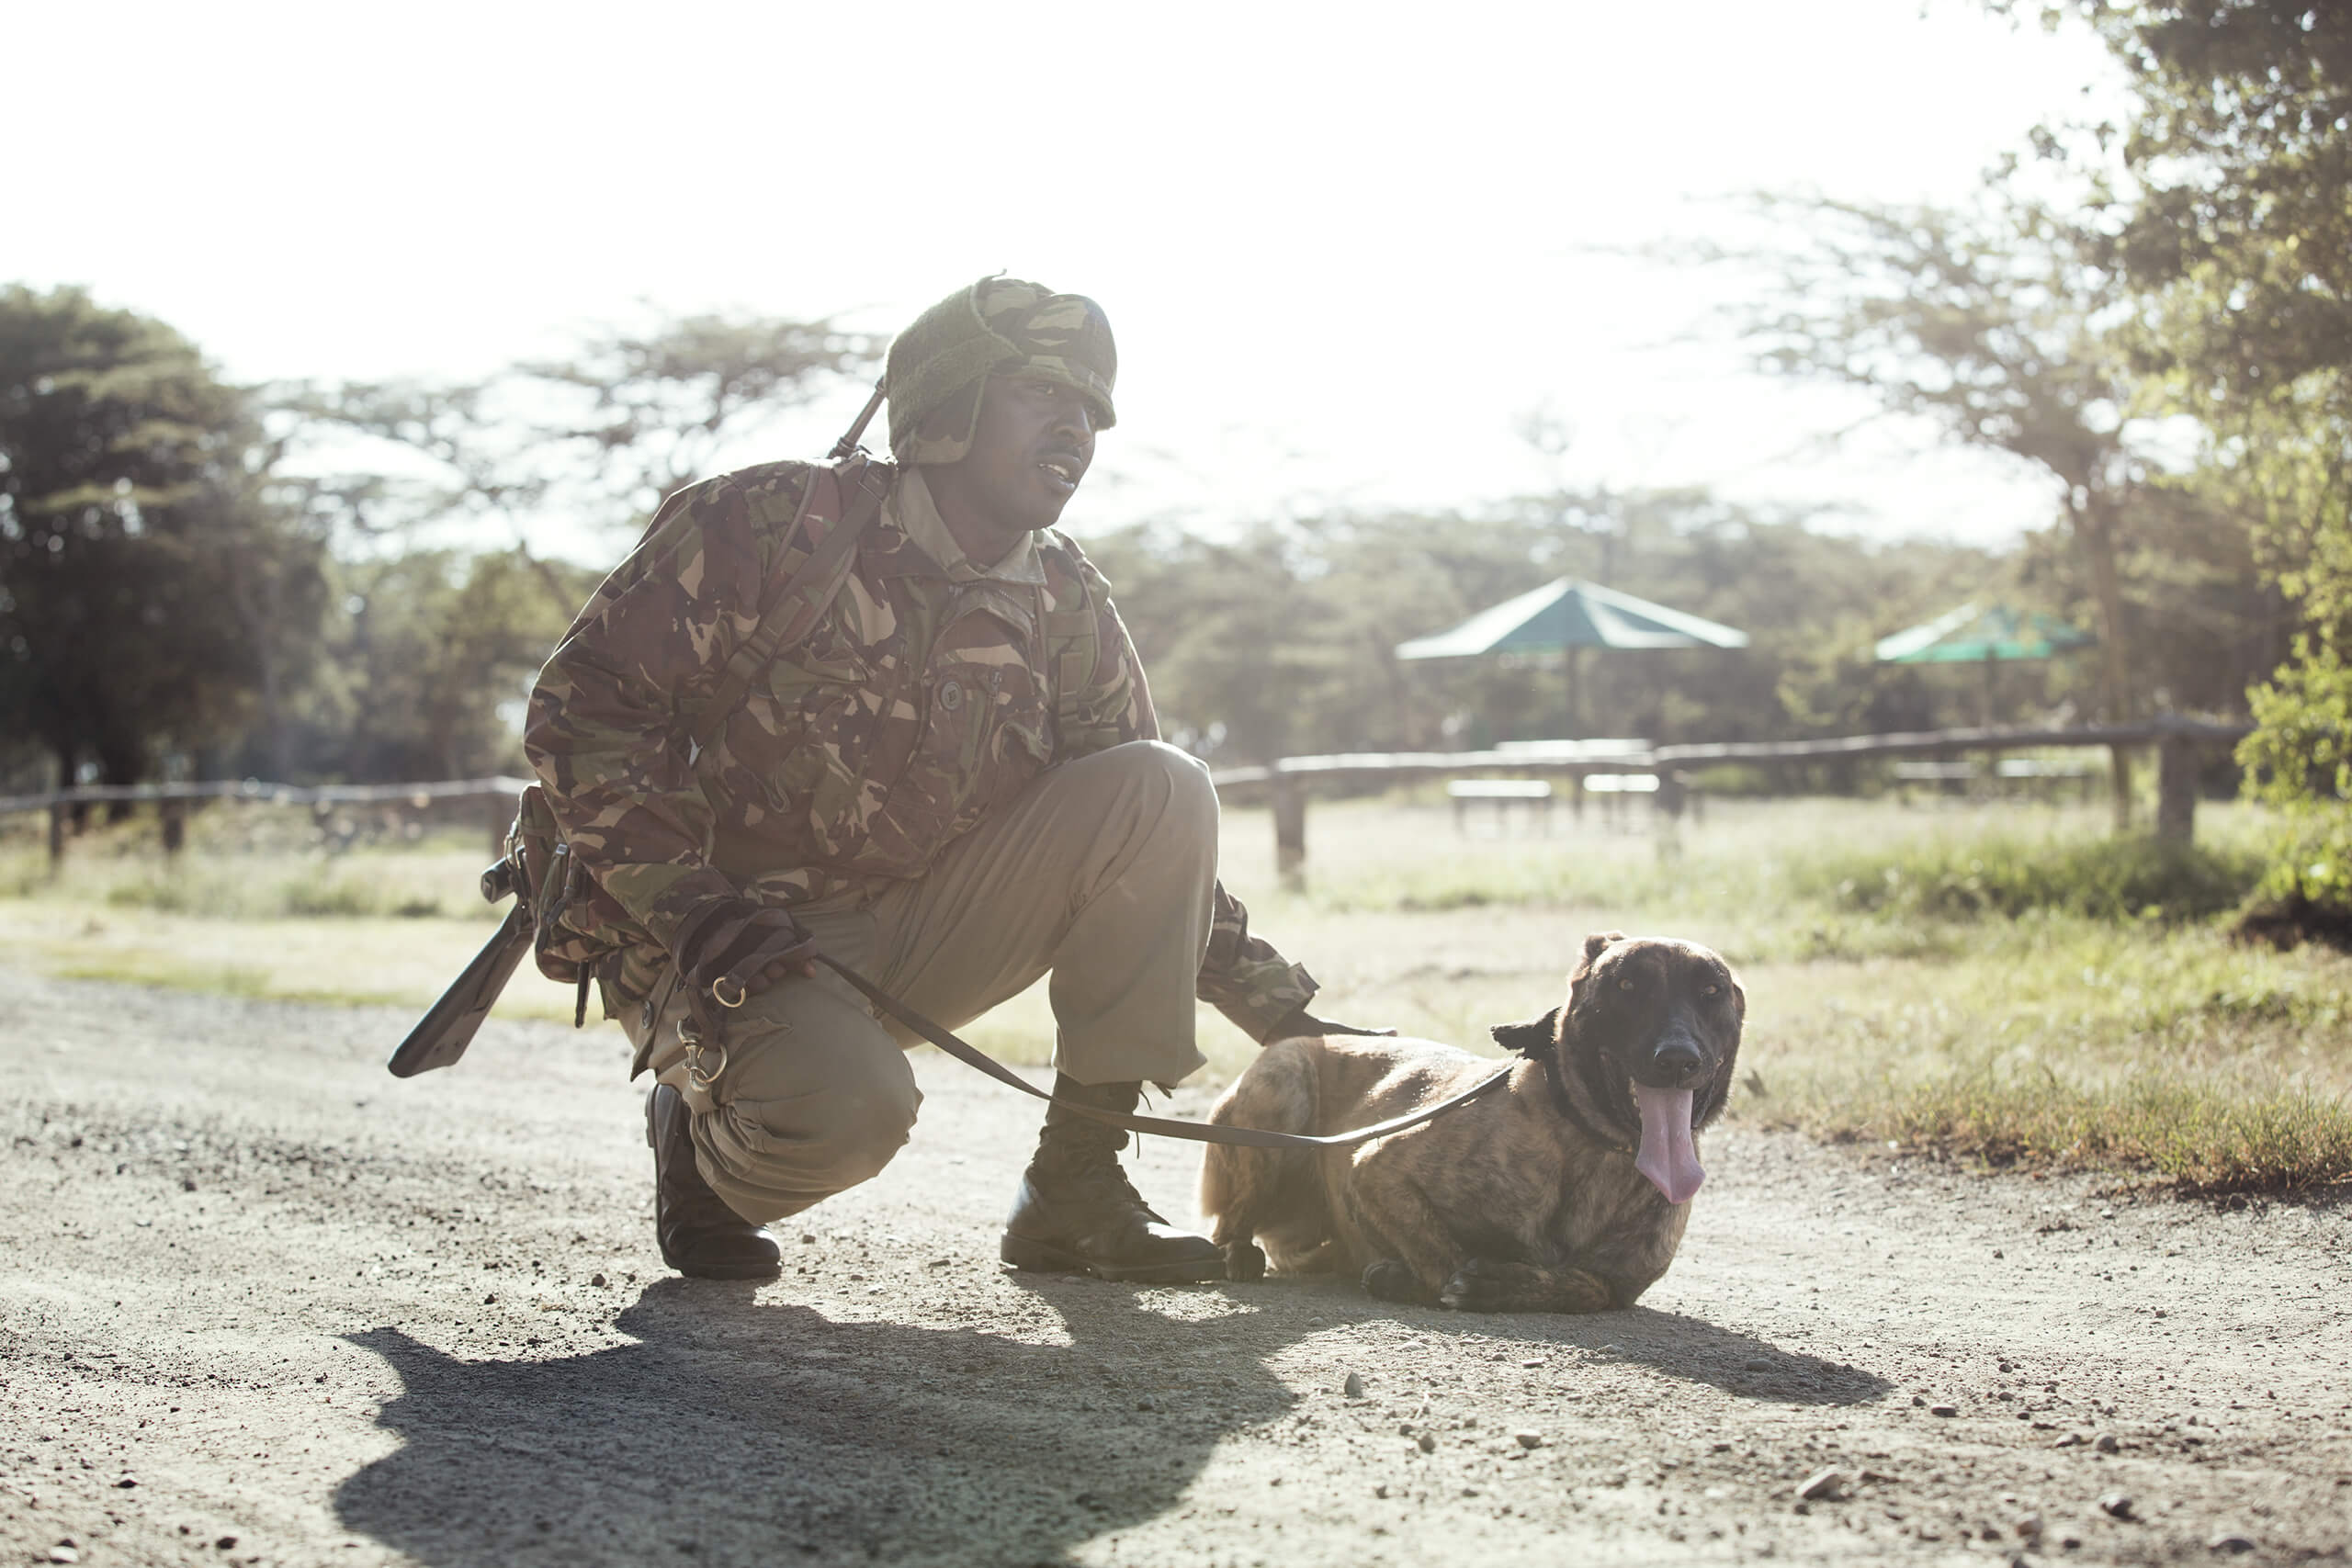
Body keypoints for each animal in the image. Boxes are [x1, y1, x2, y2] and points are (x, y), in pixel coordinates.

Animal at [1204, 931, 1740, 1316]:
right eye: (1627, 986)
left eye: (1711, 992)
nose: (1677, 1059)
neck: (1589, 1146)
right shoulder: (1375, 1168)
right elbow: (1445, 1258)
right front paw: (1419, 1279)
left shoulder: (1619, 1283)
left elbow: (1588, 1287)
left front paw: (1505, 1283)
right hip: (1284, 1091)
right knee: (1228, 1225)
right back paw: (1237, 1254)